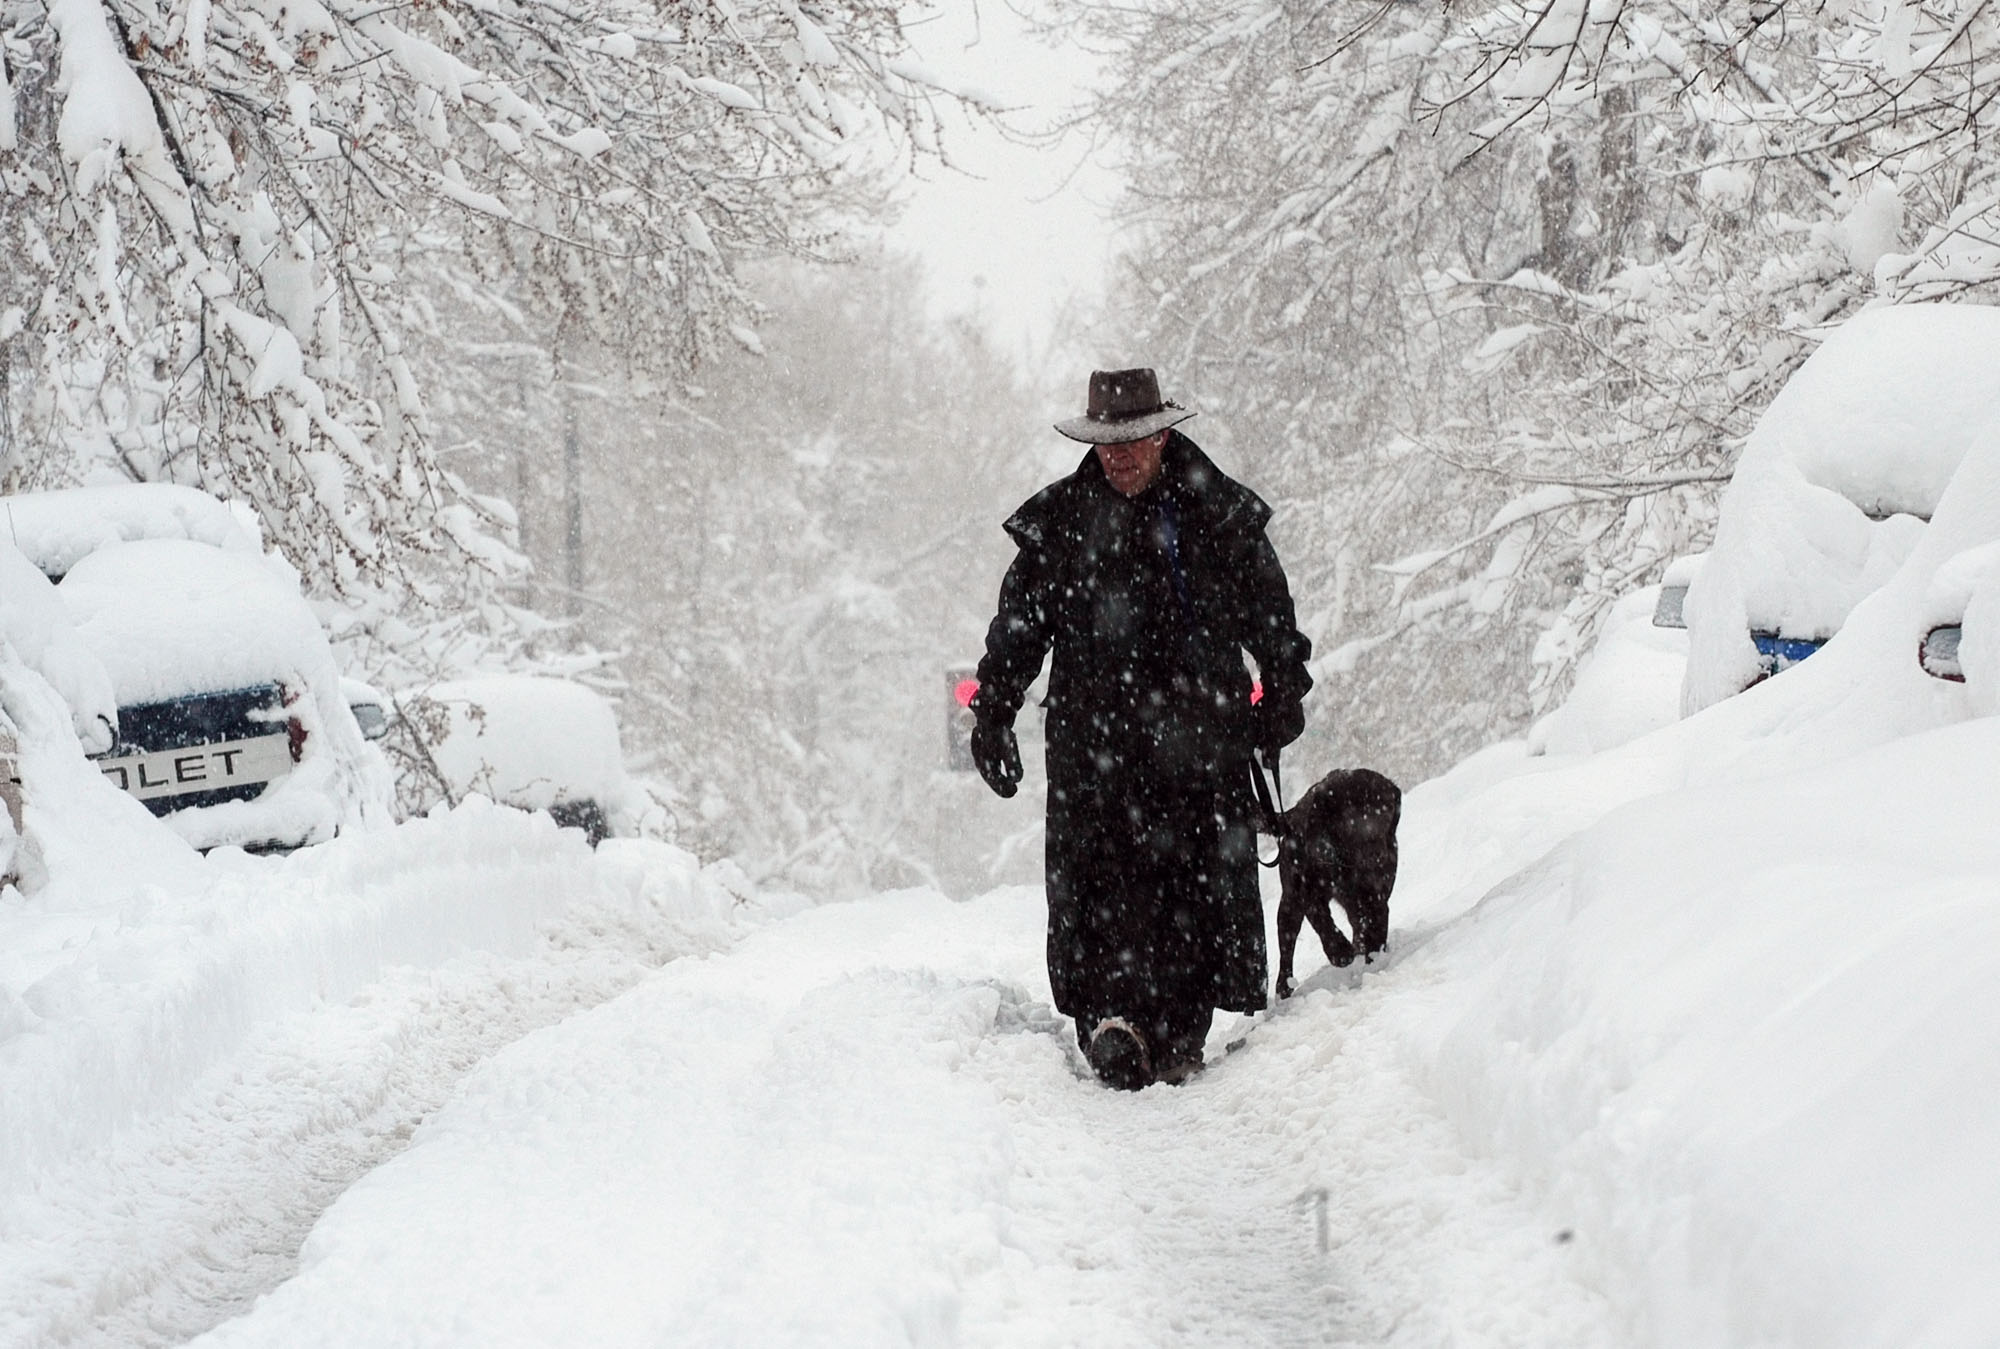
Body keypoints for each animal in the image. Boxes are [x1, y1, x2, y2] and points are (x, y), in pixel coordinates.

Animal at [1272, 760, 1400, 992]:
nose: (1377, 855)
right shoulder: (1306, 888)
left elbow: (1374, 920)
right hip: (1289, 902)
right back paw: (1284, 987)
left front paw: (1373, 958)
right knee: (1287, 940)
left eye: (1383, 813)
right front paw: (1340, 952)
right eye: (1350, 821)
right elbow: (1321, 919)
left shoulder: (1374, 892)